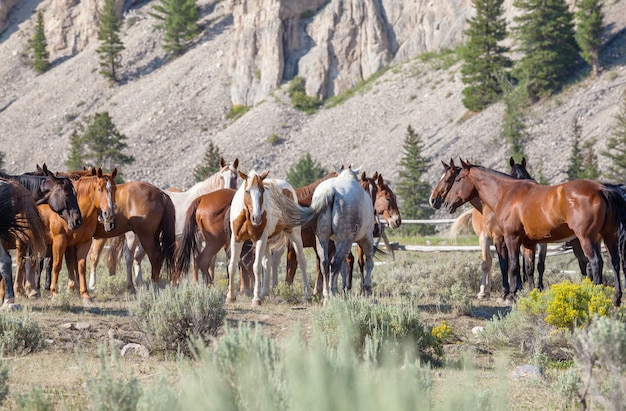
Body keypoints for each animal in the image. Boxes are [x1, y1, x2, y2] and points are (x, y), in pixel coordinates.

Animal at [39, 169, 117, 304]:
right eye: (100, 189)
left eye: (114, 189)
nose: (109, 214)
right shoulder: (60, 240)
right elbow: (57, 265)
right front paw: (54, 292)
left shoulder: (84, 242)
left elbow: (80, 266)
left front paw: (85, 294)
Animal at [225, 171, 310, 306]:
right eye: (247, 191)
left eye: (262, 191)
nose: (257, 218)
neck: (247, 216)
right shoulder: (236, 240)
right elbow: (232, 265)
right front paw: (230, 297)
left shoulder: (260, 239)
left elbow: (256, 267)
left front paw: (256, 299)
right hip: (268, 241)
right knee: (268, 262)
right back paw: (264, 293)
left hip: (294, 234)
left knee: (301, 260)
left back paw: (308, 295)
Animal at [294, 167, 372, 302]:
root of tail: (331, 191)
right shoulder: (366, 238)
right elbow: (369, 263)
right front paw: (366, 288)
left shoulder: (335, 241)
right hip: (345, 240)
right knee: (335, 263)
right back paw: (333, 294)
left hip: (322, 238)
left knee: (325, 263)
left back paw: (327, 294)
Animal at [428, 160, 626, 306]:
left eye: (456, 179)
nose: (441, 202)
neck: (506, 193)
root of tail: (602, 189)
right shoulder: (529, 243)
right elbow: (528, 268)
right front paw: (530, 293)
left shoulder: (509, 238)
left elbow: (512, 266)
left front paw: (510, 295)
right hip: (608, 237)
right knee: (614, 263)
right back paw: (616, 298)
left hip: (586, 238)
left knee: (596, 263)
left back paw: (595, 294)